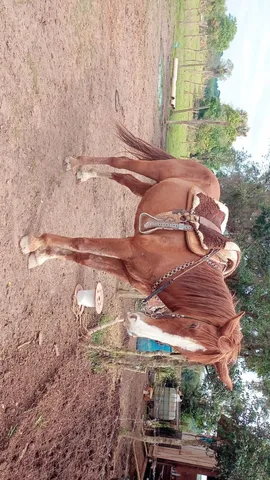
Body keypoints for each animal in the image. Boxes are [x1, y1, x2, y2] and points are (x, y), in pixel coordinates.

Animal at [20, 125, 244, 388]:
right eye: (193, 324)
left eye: (190, 354)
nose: (133, 322)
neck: (178, 267)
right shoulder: (128, 248)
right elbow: (81, 243)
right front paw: (34, 243)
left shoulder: (125, 269)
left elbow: (84, 258)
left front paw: (40, 256)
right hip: (157, 169)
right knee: (121, 162)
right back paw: (76, 163)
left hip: (147, 189)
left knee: (124, 179)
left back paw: (86, 173)